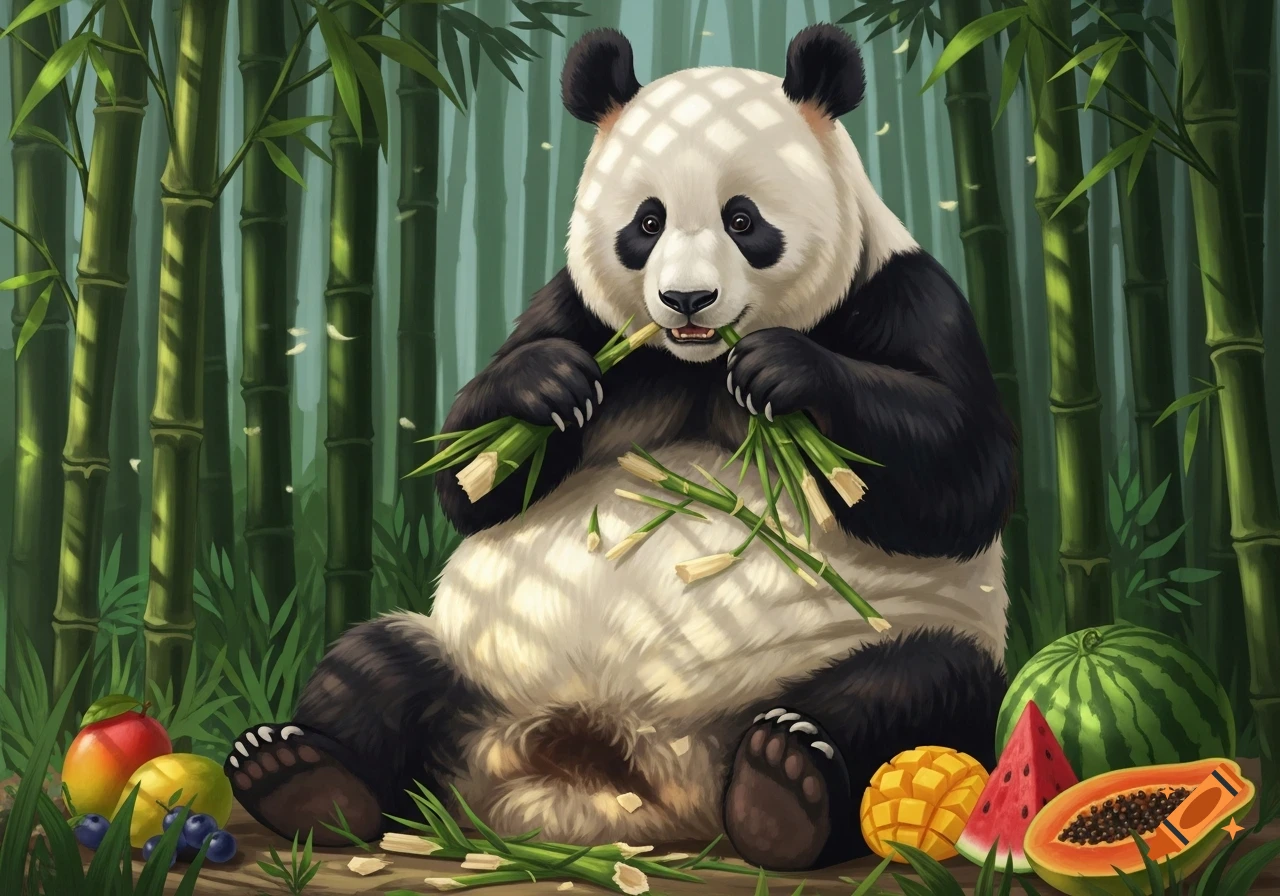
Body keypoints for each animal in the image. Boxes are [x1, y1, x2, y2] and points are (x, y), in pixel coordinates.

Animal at [225, 25, 1016, 872]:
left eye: (743, 220)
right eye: (647, 223)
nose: (686, 299)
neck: (695, 363)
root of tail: (602, 756)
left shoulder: (904, 294)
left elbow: (962, 474)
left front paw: (786, 369)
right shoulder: (580, 315)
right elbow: (472, 478)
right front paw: (541, 387)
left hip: (876, 648)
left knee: (919, 688)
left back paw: (783, 783)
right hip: (470, 662)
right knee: (373, 663)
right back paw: (300, 775)